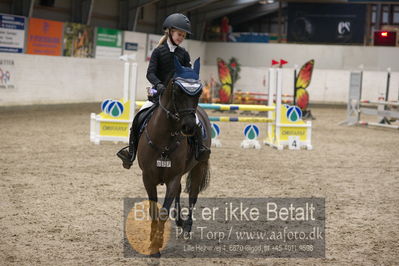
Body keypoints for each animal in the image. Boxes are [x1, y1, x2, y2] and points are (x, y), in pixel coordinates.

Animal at [138, 57, 211, 256]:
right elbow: (154, 210)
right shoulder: (148, 177)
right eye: (177, 90)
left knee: (193, 196)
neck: (164, 139)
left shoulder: (173, 177)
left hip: (200, 166)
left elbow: (163, 211)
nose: (189, 126)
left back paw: (186, 228)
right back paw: (179, 223)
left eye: (199, 92)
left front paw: (156, 245)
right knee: (180, 193)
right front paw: (152, 240)